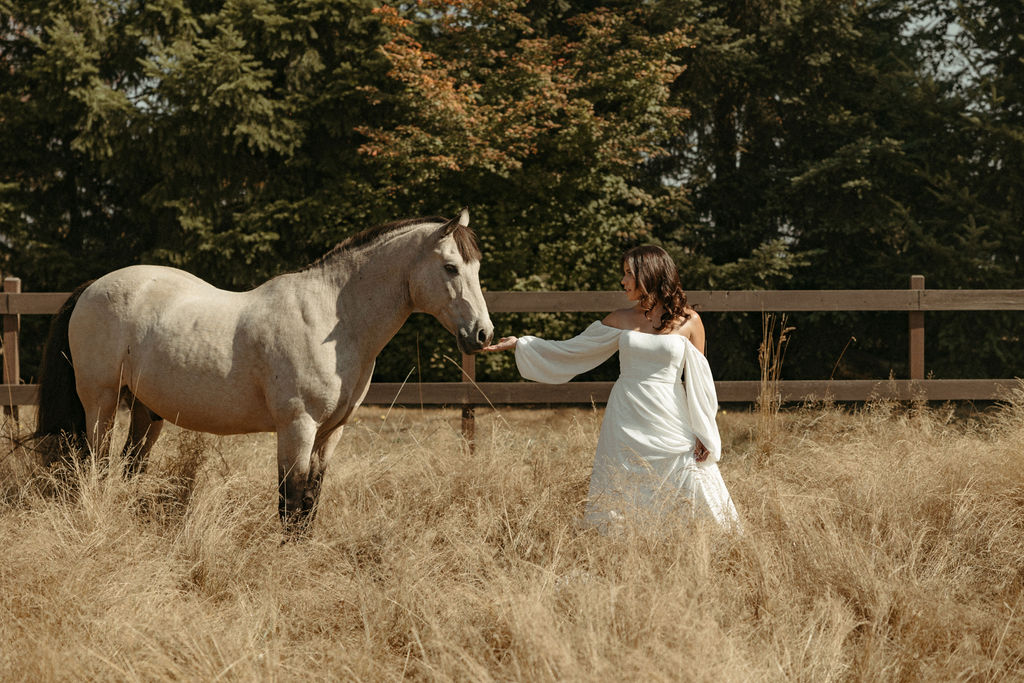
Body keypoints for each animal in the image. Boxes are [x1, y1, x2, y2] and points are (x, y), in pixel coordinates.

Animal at [32, 210, 491, 532]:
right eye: (451, 267)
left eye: (477, 268)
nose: (482, 334)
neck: (332, 318)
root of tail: (91, 288)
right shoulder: (297, 426)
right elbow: (291, 499)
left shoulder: (331, 432)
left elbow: (311, 498)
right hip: (101, 403)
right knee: (94, 464)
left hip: (147, 412)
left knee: (130, 469)